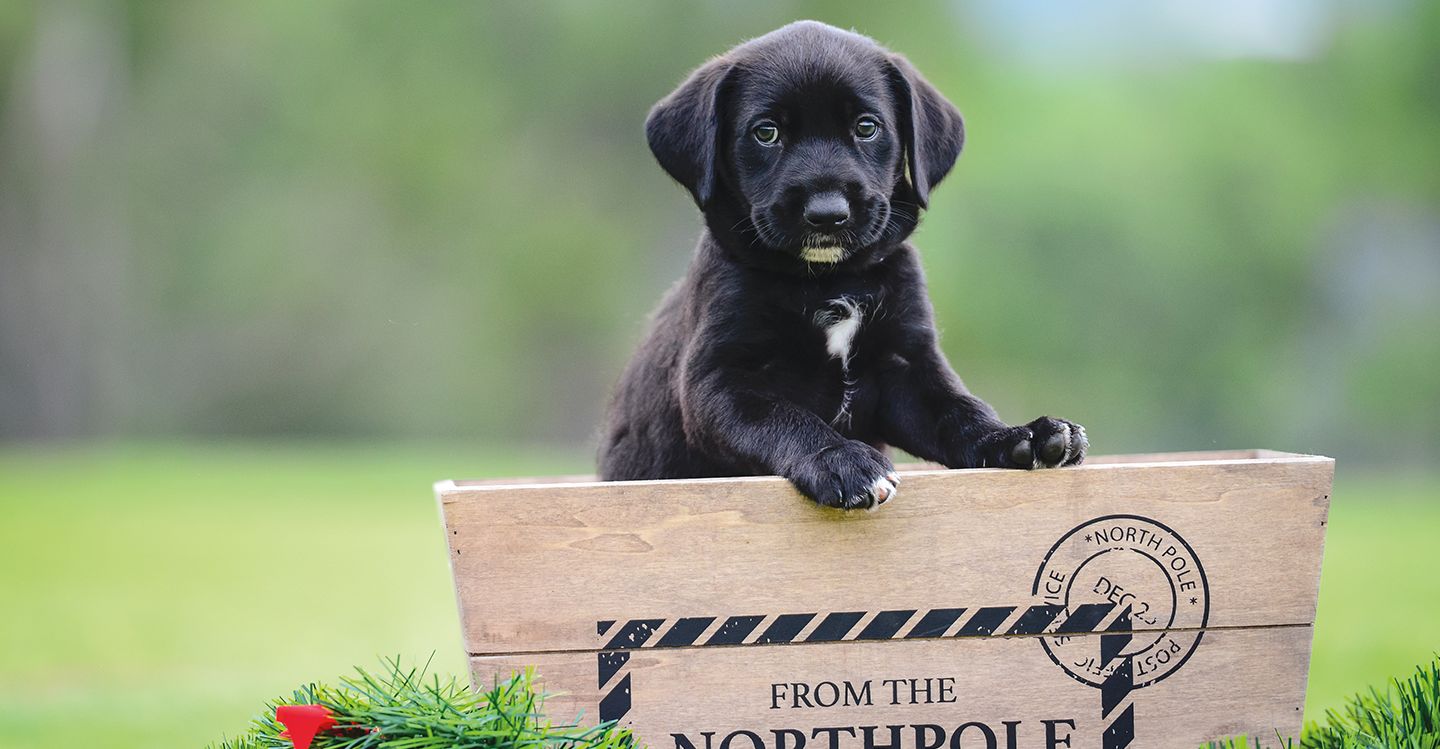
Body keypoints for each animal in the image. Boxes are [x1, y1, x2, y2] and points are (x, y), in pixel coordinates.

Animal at [596, 21, 1082, 509]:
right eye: (766, 132)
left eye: (867, 127)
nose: (827, 214)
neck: (829, 280)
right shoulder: (719, 380)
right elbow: (784, 417)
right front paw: (840, 460)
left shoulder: (906, 365)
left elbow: (959, 409)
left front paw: (1016, 436)